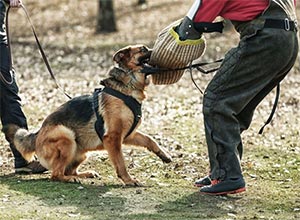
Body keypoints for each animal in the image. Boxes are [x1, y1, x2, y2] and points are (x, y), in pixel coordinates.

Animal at [4, 44, 172, 186]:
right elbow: (121, 162)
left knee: (69, 170)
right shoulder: (113, 138)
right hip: (66, 136)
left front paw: (164, 155)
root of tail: (38, 133)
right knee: (56, 174)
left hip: (82, 152)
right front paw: (129, 180)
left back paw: (85, 174)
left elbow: (150, 140)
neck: (127, 85)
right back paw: (70, 179)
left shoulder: (127, 135)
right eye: (143, 49)